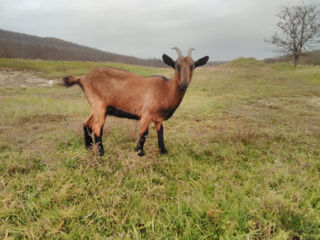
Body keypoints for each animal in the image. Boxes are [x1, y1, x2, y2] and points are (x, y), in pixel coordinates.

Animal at [63, 47, 209, 156]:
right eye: (176, 65)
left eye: (193, 66)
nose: (184, 83)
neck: (166, 89)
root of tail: (82, 78)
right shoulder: (146, 113)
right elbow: (144, 133)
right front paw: (140, 152)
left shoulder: (158, 118)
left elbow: (160, 132)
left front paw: (163, 151)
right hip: (99, 105)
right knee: (97, 128)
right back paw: (101, 153)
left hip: (97, 108)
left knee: (86, 124)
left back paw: (88, 148)